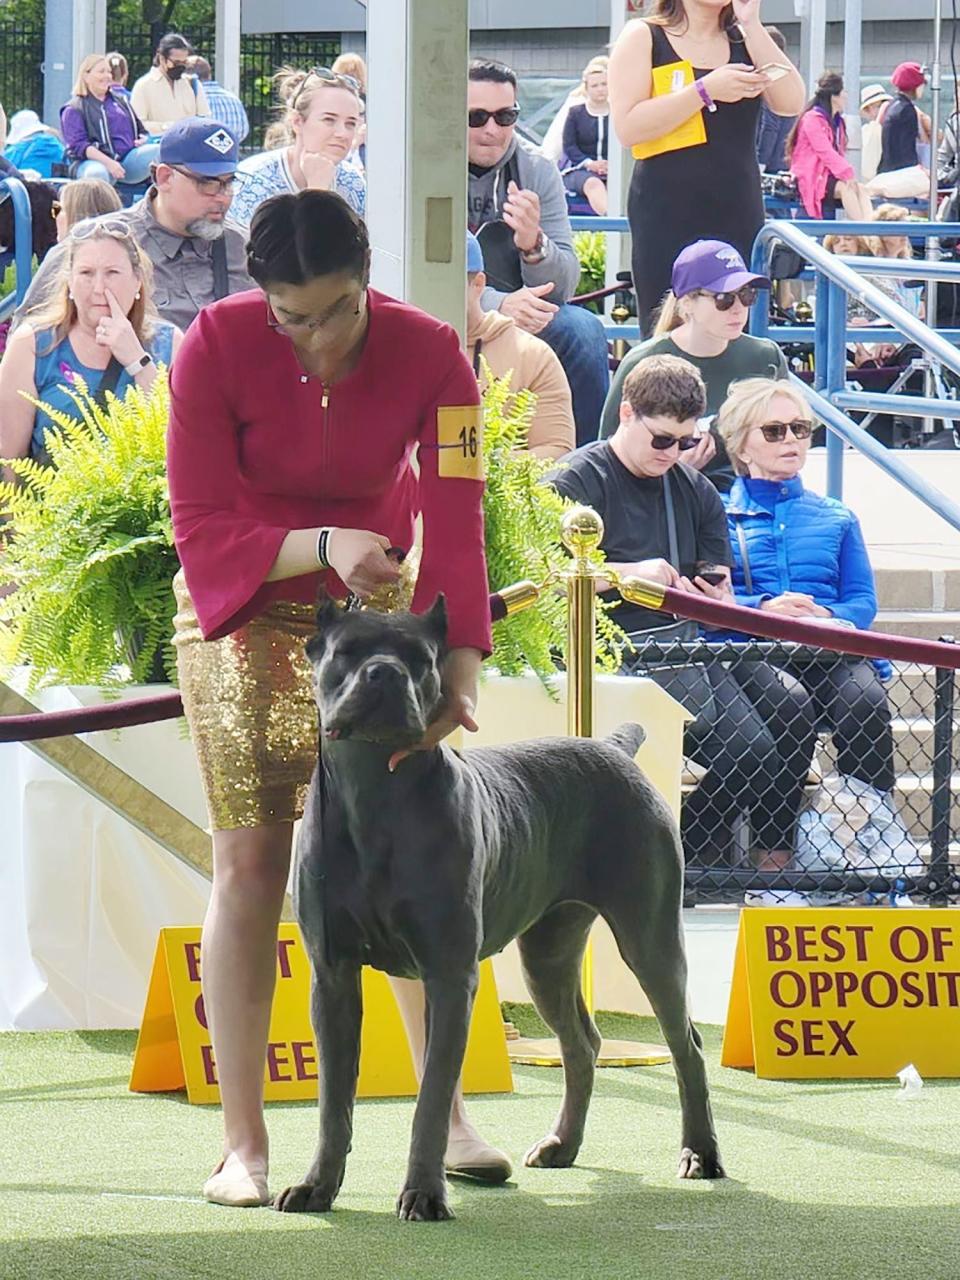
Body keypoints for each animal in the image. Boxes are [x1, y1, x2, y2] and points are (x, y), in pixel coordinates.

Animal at [273, 596, 727, 1218]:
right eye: (348, 651)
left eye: (421, 658)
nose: (385, 673)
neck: (373, 795)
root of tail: (611, 747)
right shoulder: (333, 975)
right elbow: (332, 1102)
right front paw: (317, 1186)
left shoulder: (448, 974)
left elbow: (432, 1098)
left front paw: (424, 1193)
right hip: (549, 955)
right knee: (582, 1044)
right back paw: (562, 1145)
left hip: (650, 938)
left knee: (688, 1046)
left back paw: (700, 1154)